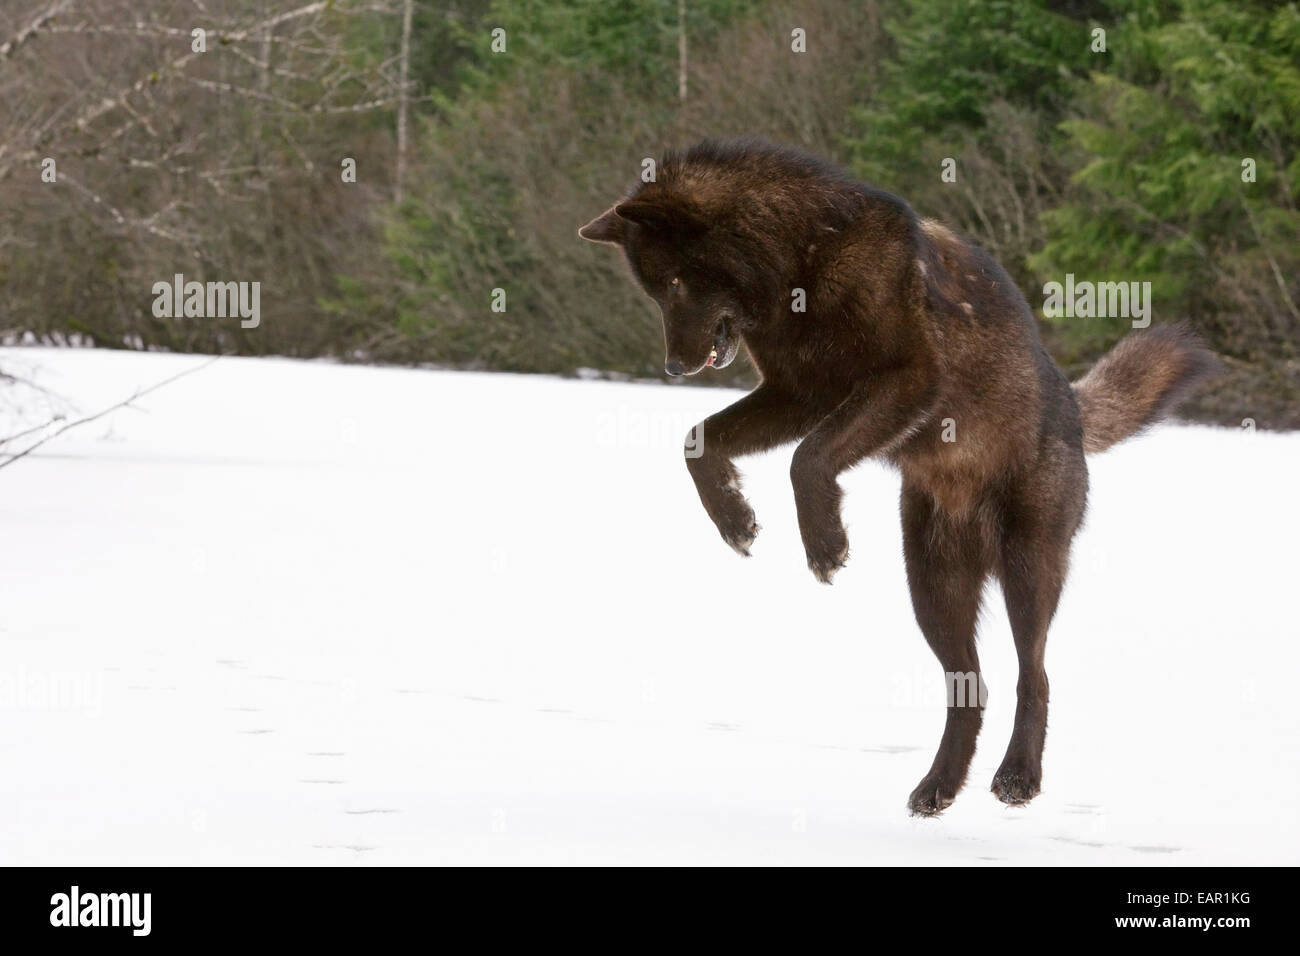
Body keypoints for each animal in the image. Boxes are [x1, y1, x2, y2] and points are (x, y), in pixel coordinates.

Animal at [579, 138, 1216, 816]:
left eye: (674, 283)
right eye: (654, 291)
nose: (673, 368)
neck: (801, 259)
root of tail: (1073, 405)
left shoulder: (905, 381)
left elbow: (807, 458)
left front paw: (824, 543)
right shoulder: (797, 395)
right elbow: (699, 440)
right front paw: (735, 519)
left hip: (1027, 570)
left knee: (1033, 675)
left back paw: (1018, 777)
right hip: (932, 591)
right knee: (971, 689)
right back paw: (938, 788)